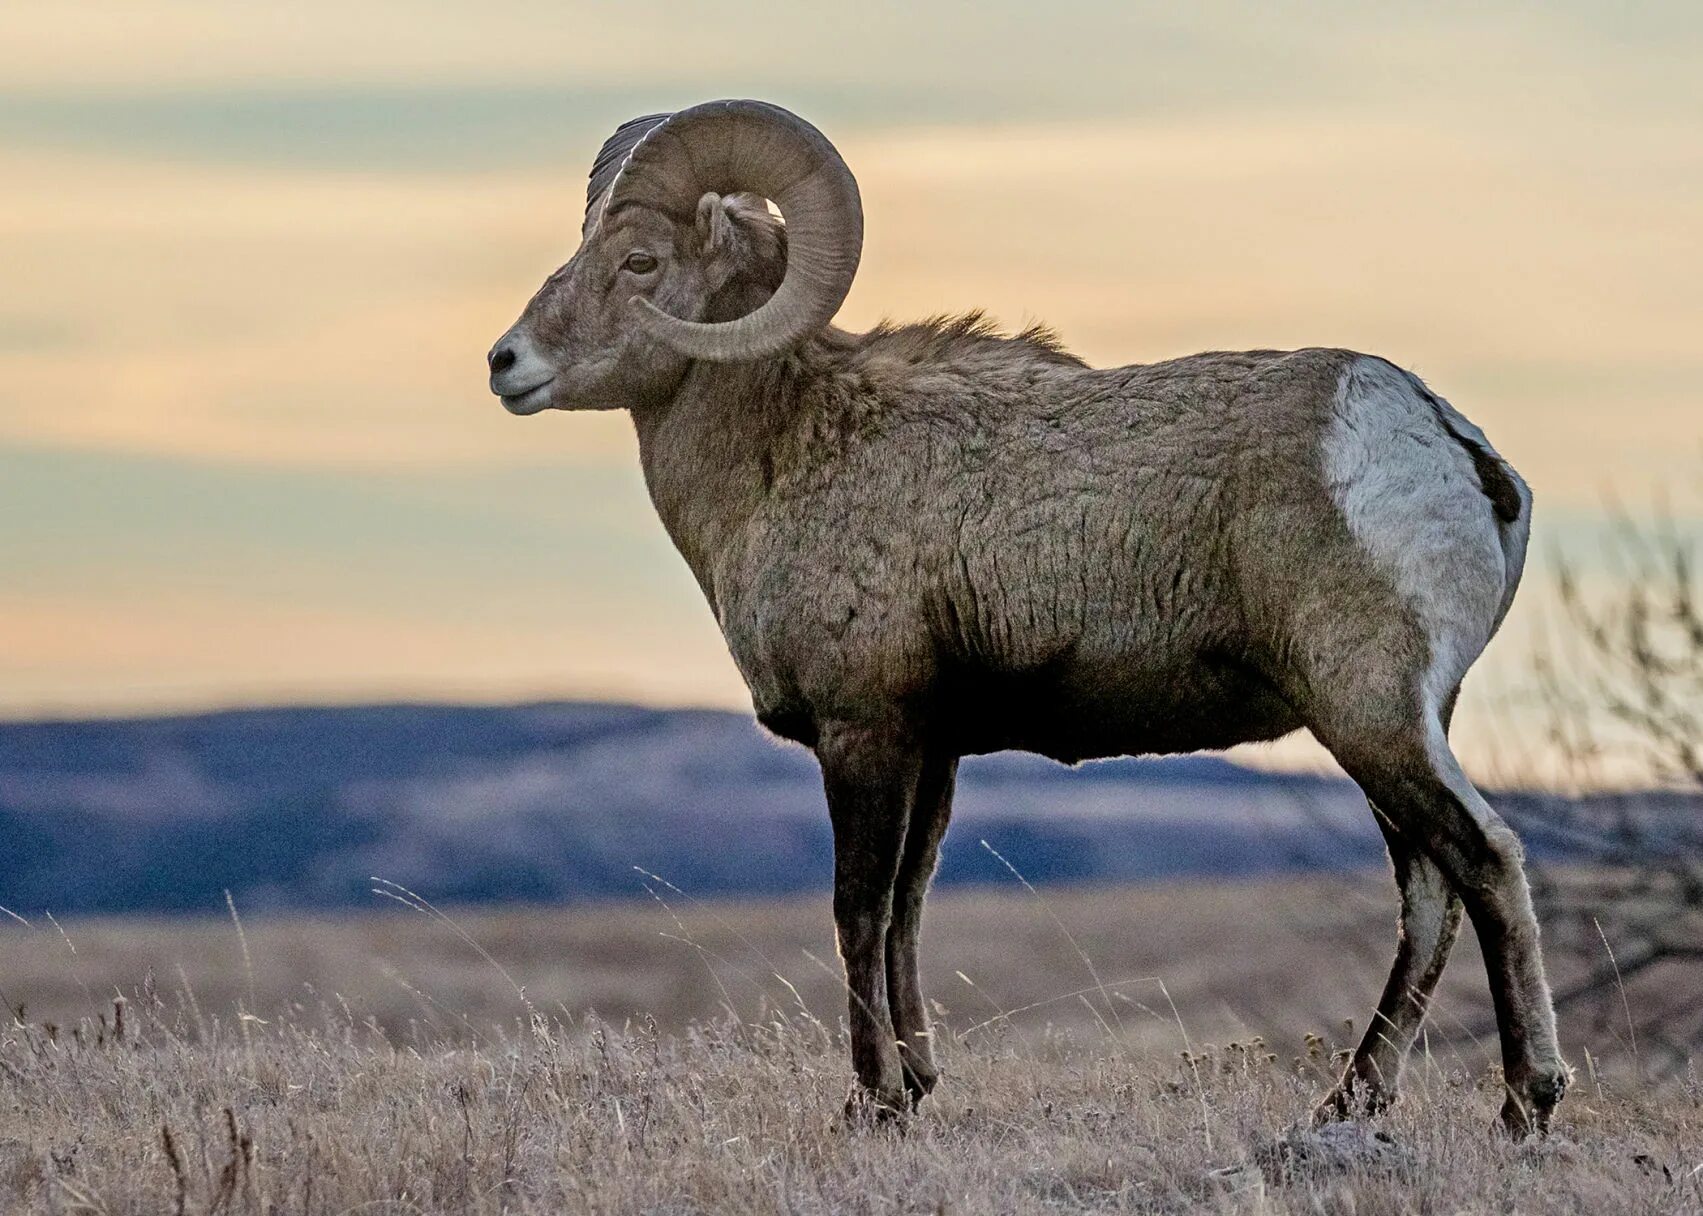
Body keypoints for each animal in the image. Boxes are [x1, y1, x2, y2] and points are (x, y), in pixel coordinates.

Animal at [487, 99, 1559, 1130]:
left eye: (639, 261)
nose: (505, 363)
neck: (788, 454)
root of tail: (1448, 445)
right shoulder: (935, 747)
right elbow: (908, 908)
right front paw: (917, 1086)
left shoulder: (864, 732)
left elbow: (858, 910)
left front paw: (872, 1104)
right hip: (1393, 724)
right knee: (1427, 890)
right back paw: (1347, 1103)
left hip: (1367, 713)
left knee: (1481, 860)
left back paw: (1524, 1102)